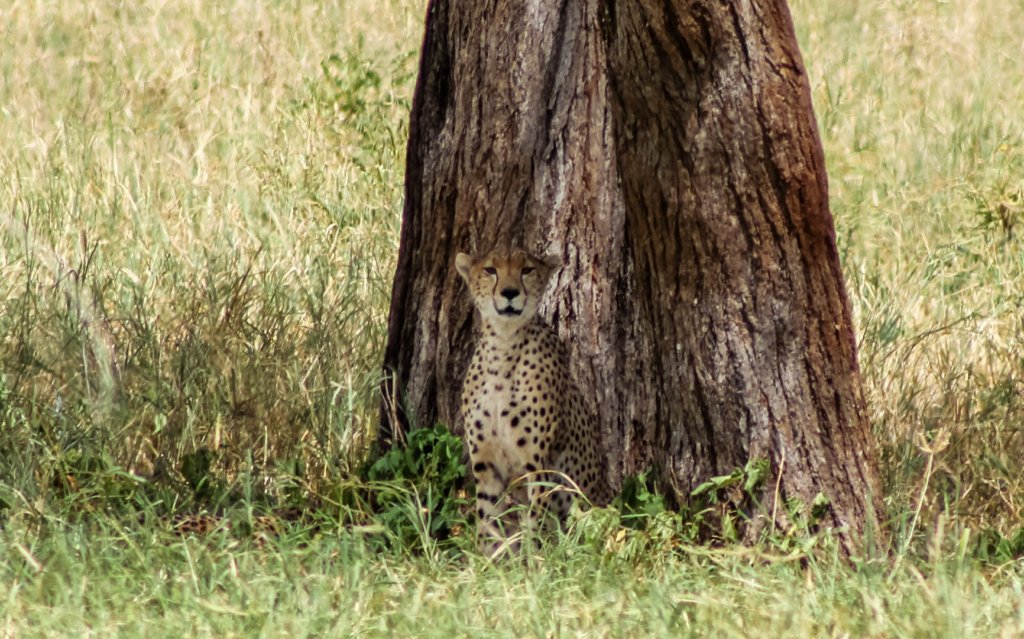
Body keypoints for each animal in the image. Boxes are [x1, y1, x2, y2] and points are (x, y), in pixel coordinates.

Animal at [455, 247, 609, 557]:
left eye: (526, 270)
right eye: (490, 270)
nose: (510, 292)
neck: (503, 345)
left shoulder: (536, 463)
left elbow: (534, 520)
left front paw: (531, 562)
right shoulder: (486, 463)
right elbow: (487, 520)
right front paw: (487, 561)